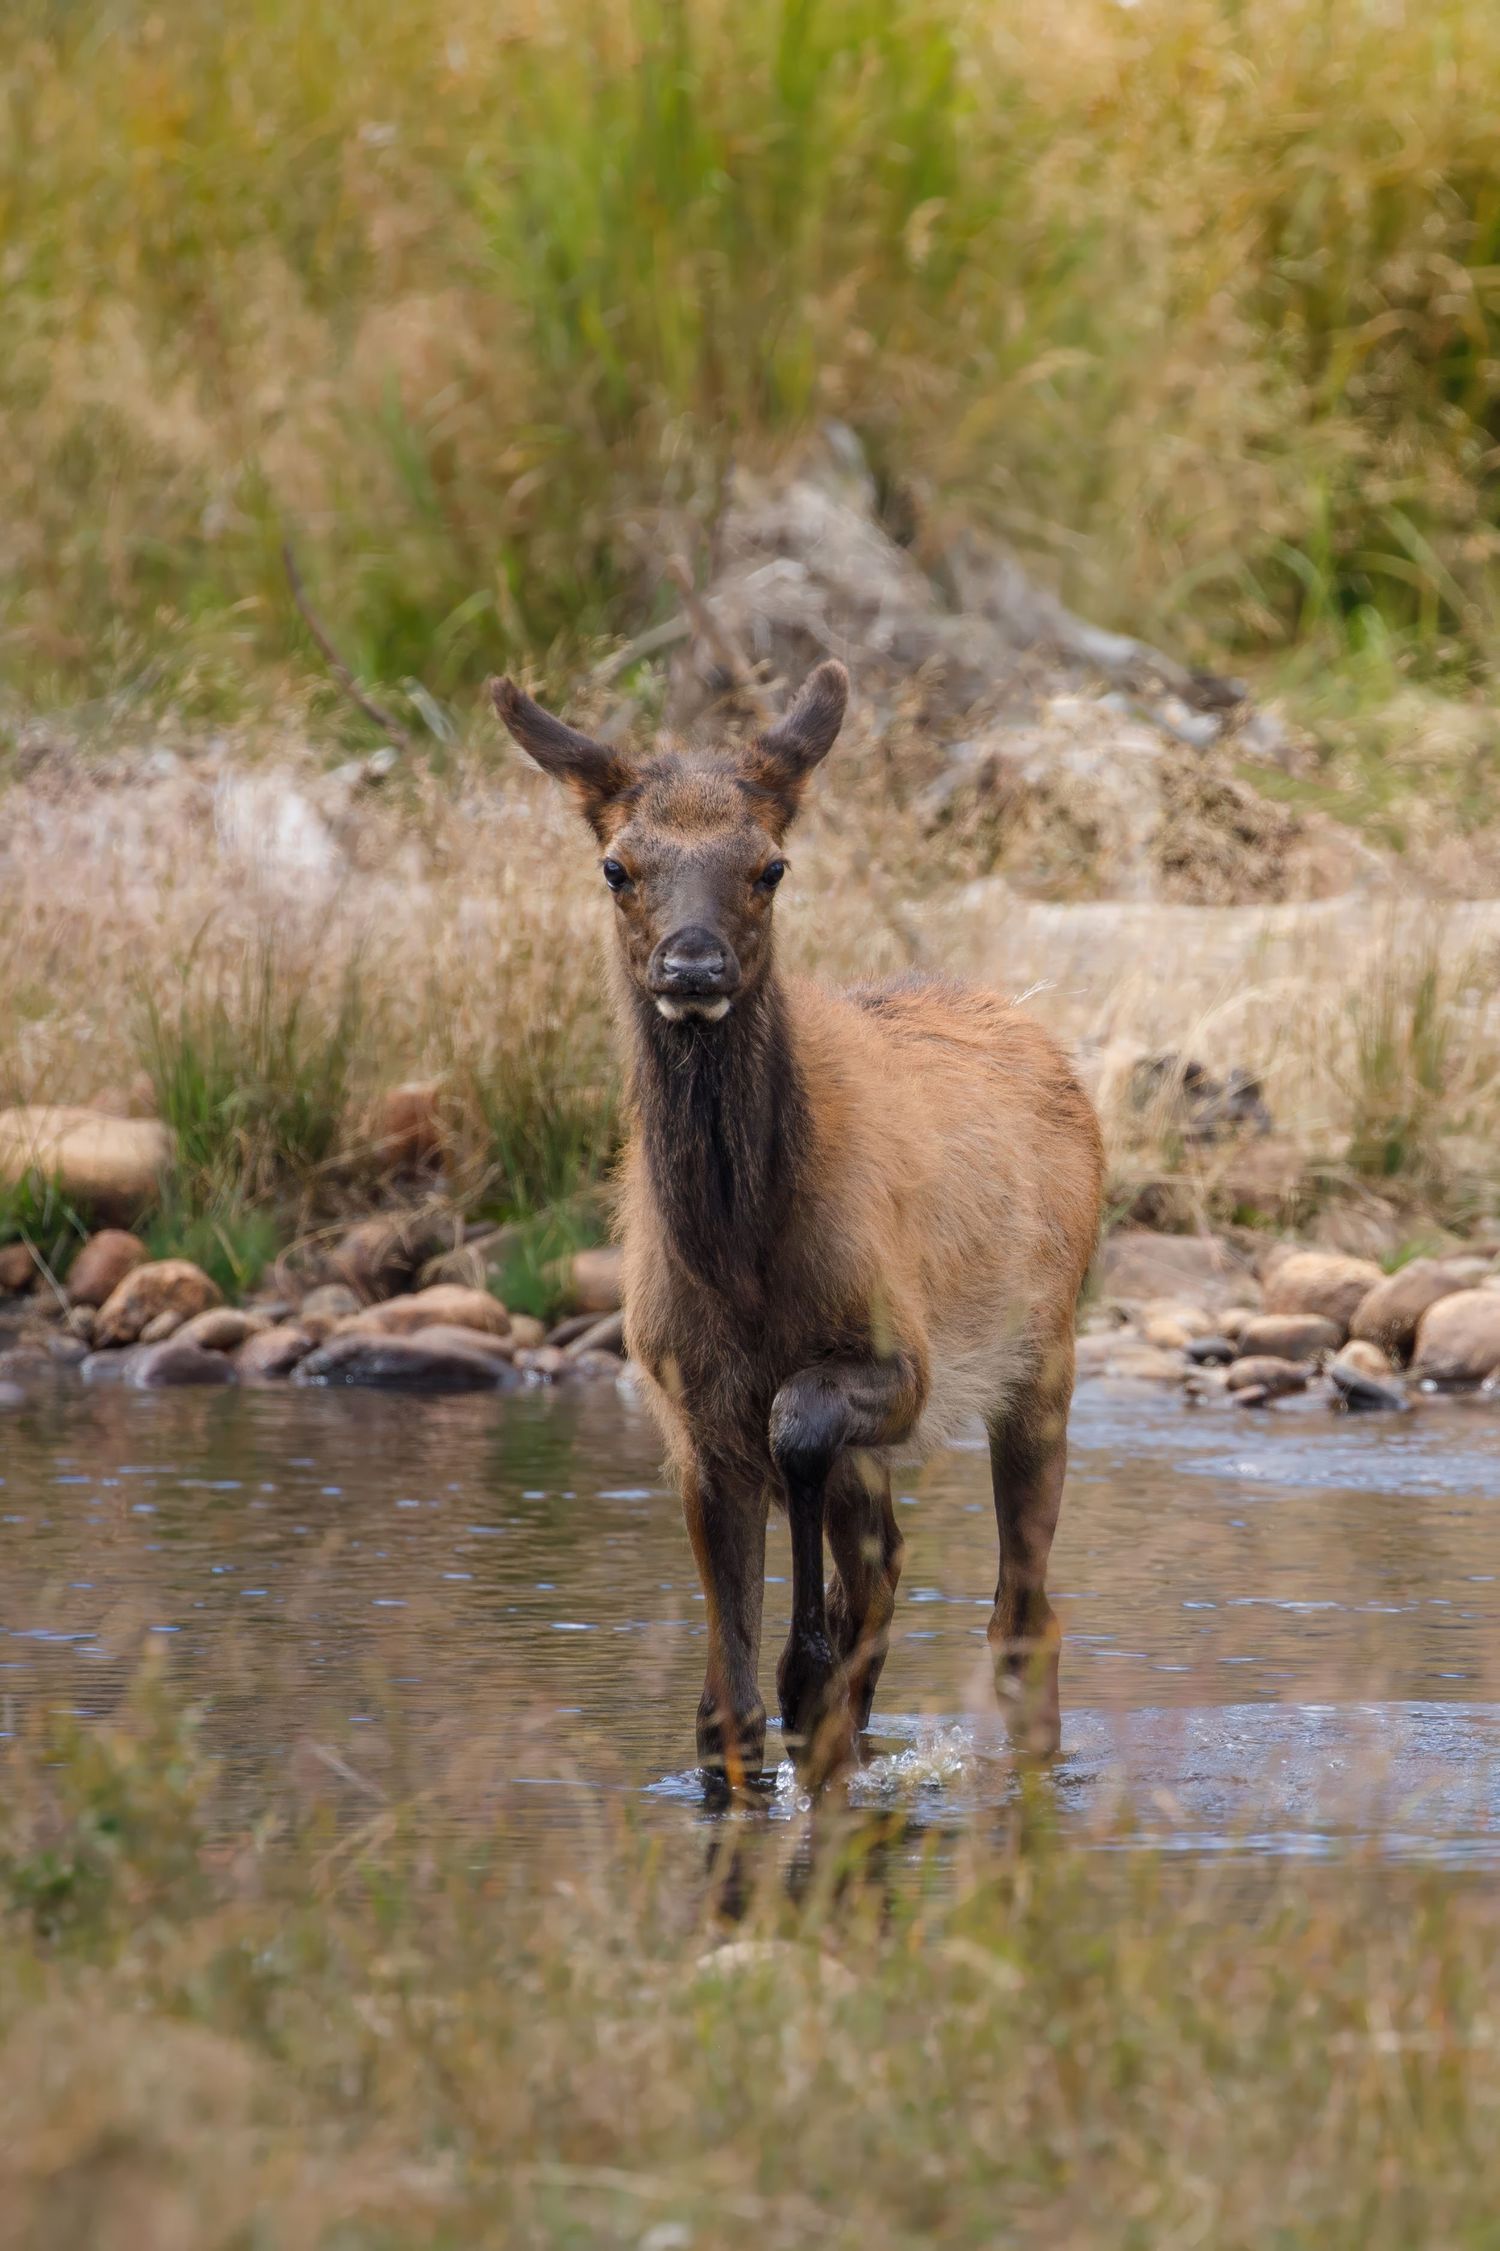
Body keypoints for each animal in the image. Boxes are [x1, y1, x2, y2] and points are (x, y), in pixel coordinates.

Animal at [491, 660, 1104, 1790]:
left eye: (769, 865)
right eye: (616, 866)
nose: (693, 968)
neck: (743, 1260)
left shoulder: (899, 1361)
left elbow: (801, 1427)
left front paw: (807, 1664)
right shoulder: (691, 1413)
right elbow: (721, 1712)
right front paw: (785, 1702)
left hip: (1042, 1361)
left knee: (1021, 1613)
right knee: (895, 1560)